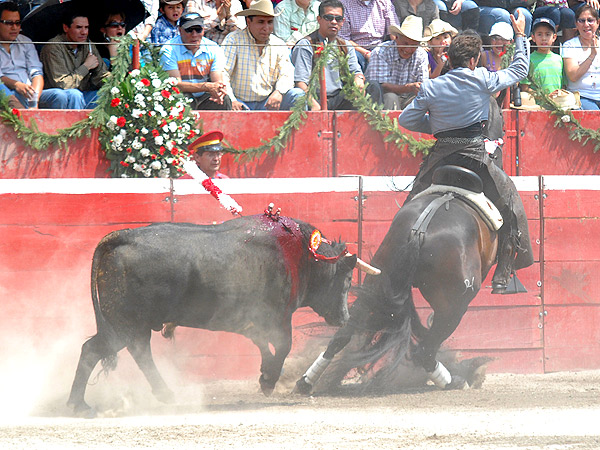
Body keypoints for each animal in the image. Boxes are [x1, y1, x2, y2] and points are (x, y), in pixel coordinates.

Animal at [67, 212, 378, 416]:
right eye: (346, 279)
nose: (344, 319)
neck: (299, 253)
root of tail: (120, 237)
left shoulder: (249, 320)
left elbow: (263, 345)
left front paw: (265, 374)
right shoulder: (277, 317)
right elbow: (283, 346)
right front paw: (268, 381)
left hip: (129, 327)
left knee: (124, 351)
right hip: (124, 326)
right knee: (103, 350)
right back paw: (79, 405)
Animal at [294, 166, 500, 393]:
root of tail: (419, 231)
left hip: (376, 284)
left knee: (344, 334)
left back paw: (306, 381)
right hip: (454, 306)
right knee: (424, 350)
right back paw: (452, 380)